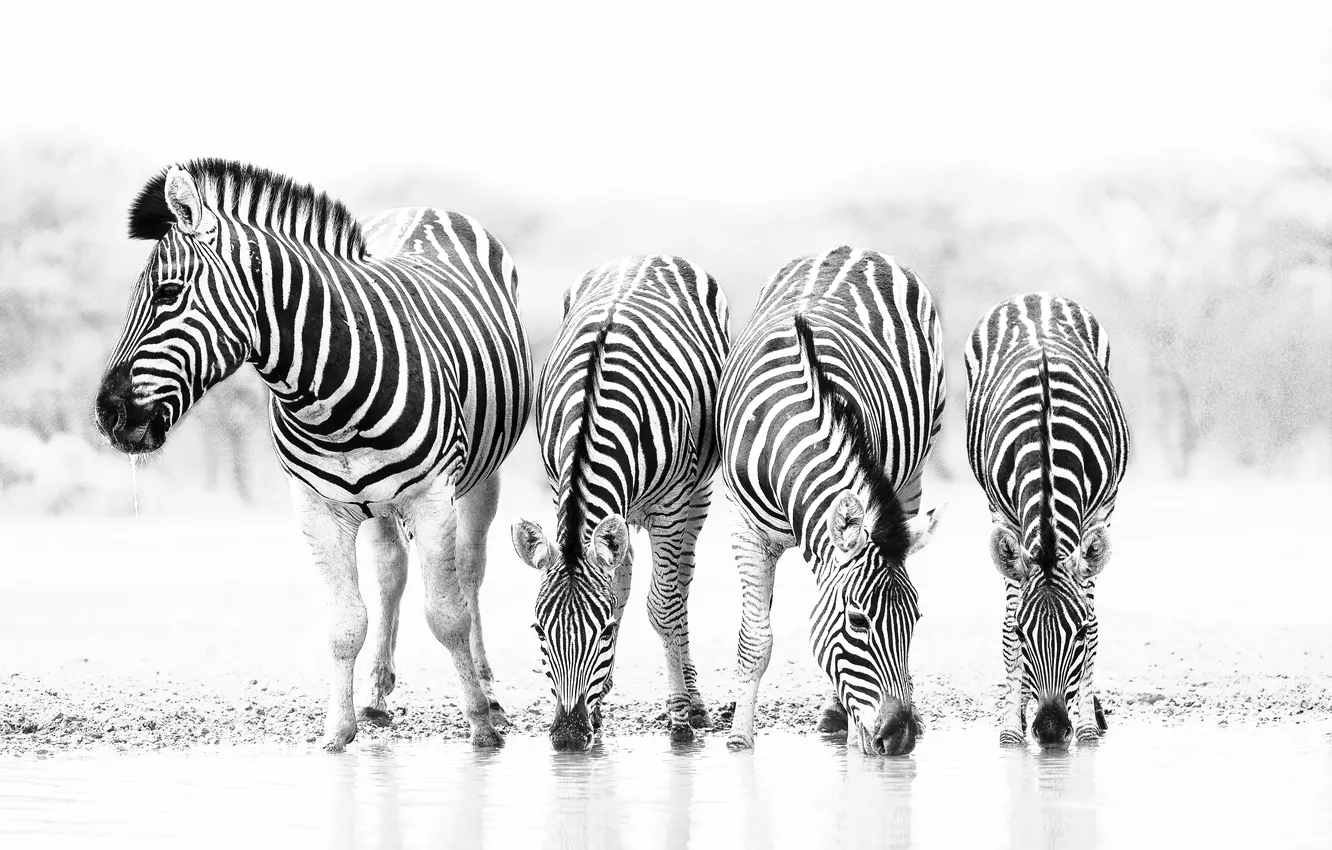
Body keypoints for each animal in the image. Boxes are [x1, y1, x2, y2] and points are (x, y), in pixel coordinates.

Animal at [93, 160, 533, 753]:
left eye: (167, 293)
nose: (107, 415)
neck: (329, 392)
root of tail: (427, 207)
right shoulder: (317, 506)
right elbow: (345, 622)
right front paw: (337, 733)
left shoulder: (431, 497)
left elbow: (447, 615)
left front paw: (481, 728)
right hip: (377, 501)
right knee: (391, 571)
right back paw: (376, 694)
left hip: (481, 477)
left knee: (469, 570)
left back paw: (486, 689)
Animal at [511, 255, 731, 751]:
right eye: (538, 630)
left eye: (606, 632)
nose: (568, 737)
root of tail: (648, 255)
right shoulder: (558, 485)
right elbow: (619, 591)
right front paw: (598, 707)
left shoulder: (672, 505)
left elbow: (664, 609)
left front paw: (680, 718)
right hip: (621, 515)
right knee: (623, 580)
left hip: (699, 495)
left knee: (680, 588)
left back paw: (694, 699)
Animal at [718, 246, 946, 756]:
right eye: (858, 622)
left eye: (917, 618)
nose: (900, 737)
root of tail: (854, 249)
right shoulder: (744, 529)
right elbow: (754, 641)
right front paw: (739, 738)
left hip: (913, 475)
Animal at [964, 293, 1129, 746]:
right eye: (1025, 634)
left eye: (1079, 634)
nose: (1052, 731)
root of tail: (1035, 296)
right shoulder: (1004, 514)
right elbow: (1006, 623)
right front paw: (1010, 725)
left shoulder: (1100, 512)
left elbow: (1094, 613)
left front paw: (1088, 724)